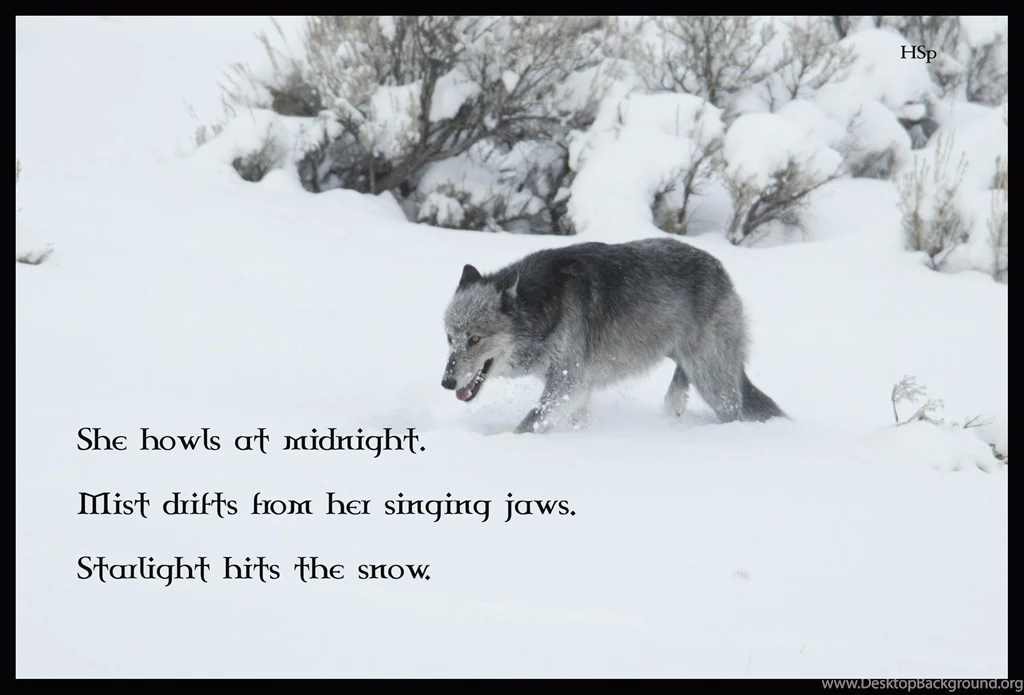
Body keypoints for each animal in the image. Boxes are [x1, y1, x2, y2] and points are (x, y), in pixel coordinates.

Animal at [441, 237, 785, 433]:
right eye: (449, 338)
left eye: (475, 339)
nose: (446, 382)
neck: (541, 306)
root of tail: (721, 270)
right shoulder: (574, 389)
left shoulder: (568, 383)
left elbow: (527, 424)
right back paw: (674, 403)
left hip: (713, 380)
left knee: (732, 410)